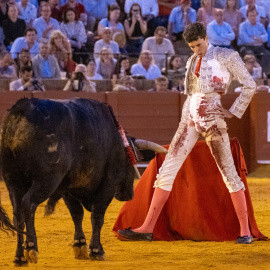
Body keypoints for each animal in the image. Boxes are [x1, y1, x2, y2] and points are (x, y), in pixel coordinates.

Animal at [0, 97, 166, 266]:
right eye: (133, 161)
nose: (129, 194)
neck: (118, 142)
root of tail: (22, 109)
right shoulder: (108, 185)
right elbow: (97, 216)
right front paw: (96, 250)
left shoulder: (67, 187)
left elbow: (76, 214)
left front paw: (80, 246)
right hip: (47, 180)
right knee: (29, 204)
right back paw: (31, 248)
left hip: (12, 181)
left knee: (17, 213)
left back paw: (19, 257)